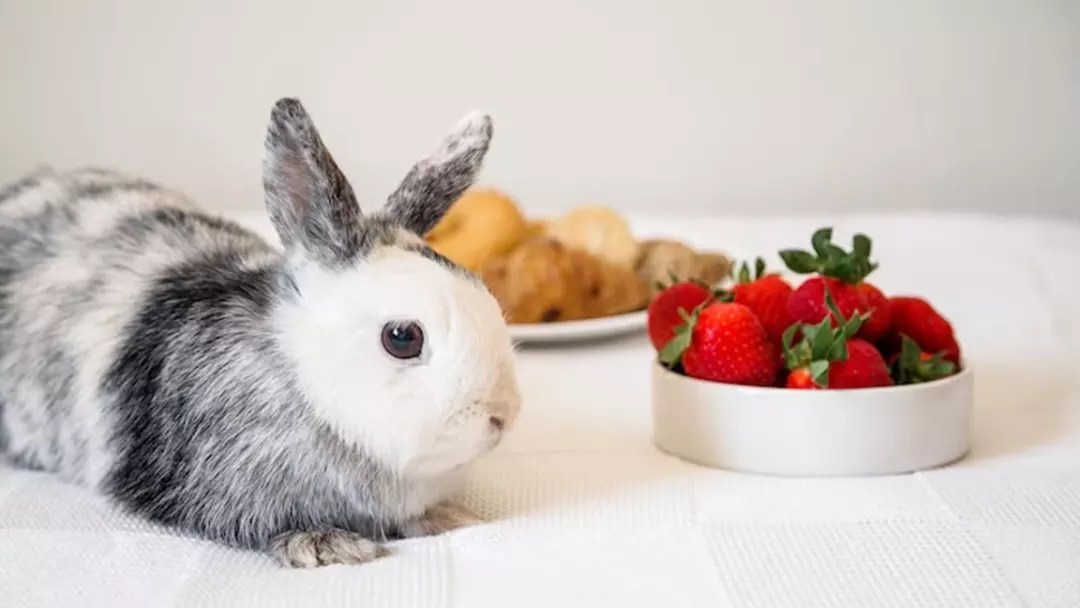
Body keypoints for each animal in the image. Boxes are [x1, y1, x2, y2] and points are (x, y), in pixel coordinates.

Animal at [0, 97, 522, 568]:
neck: (302, 381)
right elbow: (259, 525)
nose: (502, 416)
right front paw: (326, 545)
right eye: (402, 338)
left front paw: (448, 517)